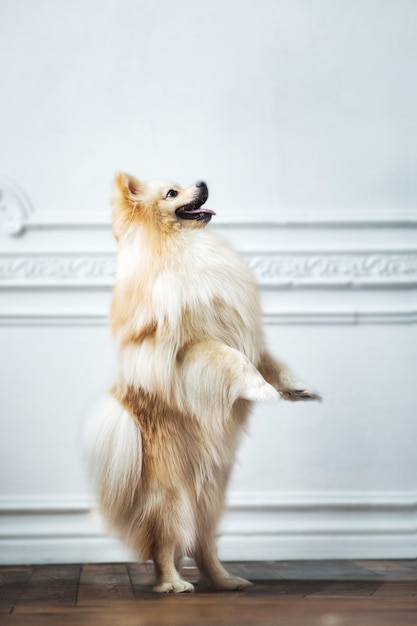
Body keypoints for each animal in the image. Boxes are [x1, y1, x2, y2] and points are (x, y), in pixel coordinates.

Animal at [87, 173, 322, 592]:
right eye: (172, 193)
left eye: (185, 183)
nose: (202, 181)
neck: (188, 248)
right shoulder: (190, 350)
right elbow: (234, 359)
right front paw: (262, 390)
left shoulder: (246, 336)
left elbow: (270, 362)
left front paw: (296, 389)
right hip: (172, 499)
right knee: (164, 545)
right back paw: (173, 584)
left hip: (210, 502)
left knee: (202, 544)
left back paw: (226, 580)